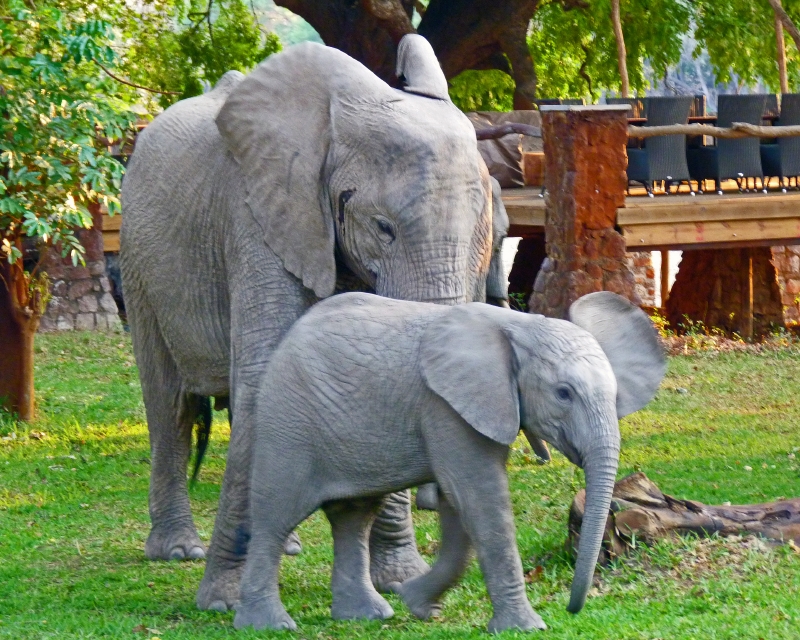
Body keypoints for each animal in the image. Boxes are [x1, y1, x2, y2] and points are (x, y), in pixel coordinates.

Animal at [119, 35, 506, 612]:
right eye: (383, 228)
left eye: (486, 231)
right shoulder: (258, 215)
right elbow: (261, 376)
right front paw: (225, 602)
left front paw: (398, 581)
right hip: (137, 262)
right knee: (170, 406)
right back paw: (178, 551)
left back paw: (290, 544)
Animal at [234, 291, 665, 632]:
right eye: (563, 393)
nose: (572, 610)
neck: (522, 326)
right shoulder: (445, 405)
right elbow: (478, 497)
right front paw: (527, 628)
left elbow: (460, 510)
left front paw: (416, 602)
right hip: (288, 420)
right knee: (277, 514)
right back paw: (268, 625)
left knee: (353, 517)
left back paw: (367, 615)